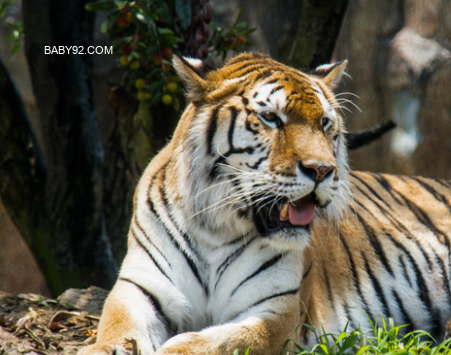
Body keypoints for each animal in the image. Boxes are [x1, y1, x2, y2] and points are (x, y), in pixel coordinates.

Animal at [77, 52, 451, 355]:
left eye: (325, 123)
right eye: (272, 118)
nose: (323, 169)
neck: (215, 230)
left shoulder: (276, 311)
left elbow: (207, 343)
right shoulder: (140, 288)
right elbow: (118, 327)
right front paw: (107, 348)